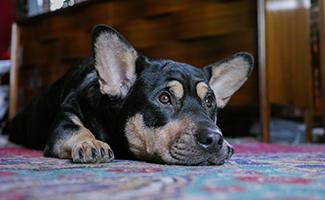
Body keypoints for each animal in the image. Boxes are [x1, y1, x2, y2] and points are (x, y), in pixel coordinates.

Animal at [6, 25, 253, 166]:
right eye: (164, 98)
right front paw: (90, 142)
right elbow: (76, 129)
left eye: (209, 101)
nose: (215, 139)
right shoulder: (64, 122)